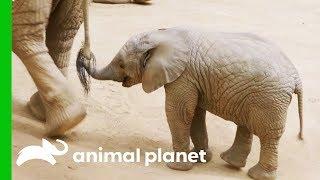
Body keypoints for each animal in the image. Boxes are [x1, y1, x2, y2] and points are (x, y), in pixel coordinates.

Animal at [77, 27, 302, 180]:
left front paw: (177, 168)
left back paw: (257, 175)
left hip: (270, 98)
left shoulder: (182, 76)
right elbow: (194, 113)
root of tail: (295, 76)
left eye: (122, 64)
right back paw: (230, 162)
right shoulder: (193, 78)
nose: (83, 57)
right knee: (245, 124)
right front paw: (200, 159)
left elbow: (178, 112)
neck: (163, 35)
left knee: (268, 134)